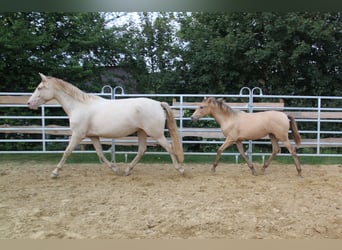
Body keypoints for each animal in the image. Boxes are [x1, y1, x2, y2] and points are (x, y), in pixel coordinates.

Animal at [28, 73, 184, 177]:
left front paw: (55, 172)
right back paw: (127, 170)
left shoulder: (77, 135)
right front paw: (115, 169)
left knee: (170, 147)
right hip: (141, 132)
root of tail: (158, 104)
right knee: (142, 150)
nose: (29, 103)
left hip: (156, 134)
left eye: (40, 87)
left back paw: (180, 169)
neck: (79, 106)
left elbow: (67, 151)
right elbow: (101, 154)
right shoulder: (93, 136)